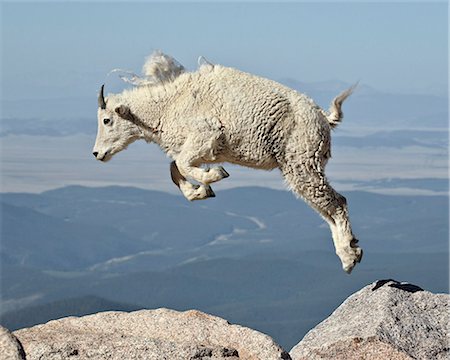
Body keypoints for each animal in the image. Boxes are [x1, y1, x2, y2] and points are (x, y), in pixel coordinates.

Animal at [92, 51, 362, 272]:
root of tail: (324, 118)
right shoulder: (201, 148)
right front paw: (201, 191)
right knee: (326, 208)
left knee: (337, 202)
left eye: (106, 120)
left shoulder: (205, 134)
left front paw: (214, 176)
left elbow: (182, 164)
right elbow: (174, 168)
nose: (96, 154)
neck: (166, 106)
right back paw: (350, 249)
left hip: (301, 161)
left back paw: (349, 257)